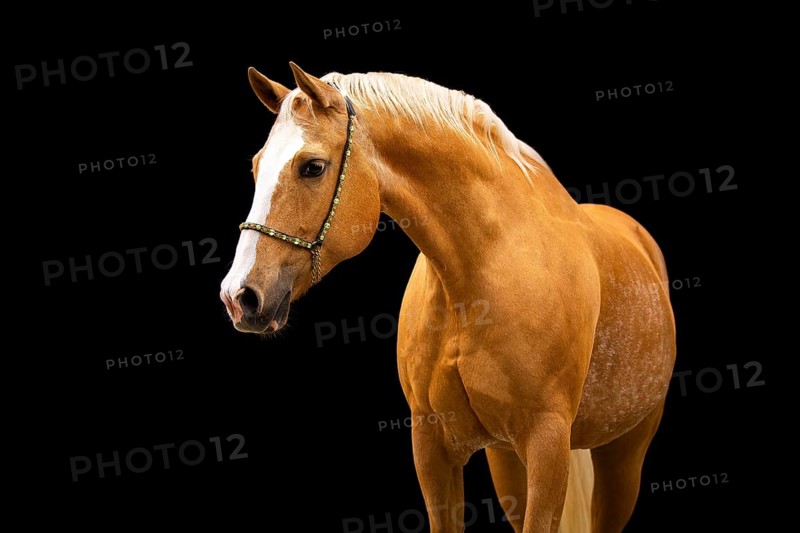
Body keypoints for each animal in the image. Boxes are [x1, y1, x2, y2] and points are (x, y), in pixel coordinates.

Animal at [219, 62, 676, 533]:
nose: (239, 296)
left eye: (312, 167)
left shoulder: (547, 444)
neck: (479, 278)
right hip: (507, 458)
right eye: (256, 166)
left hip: (624, 452)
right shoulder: (432, 445)